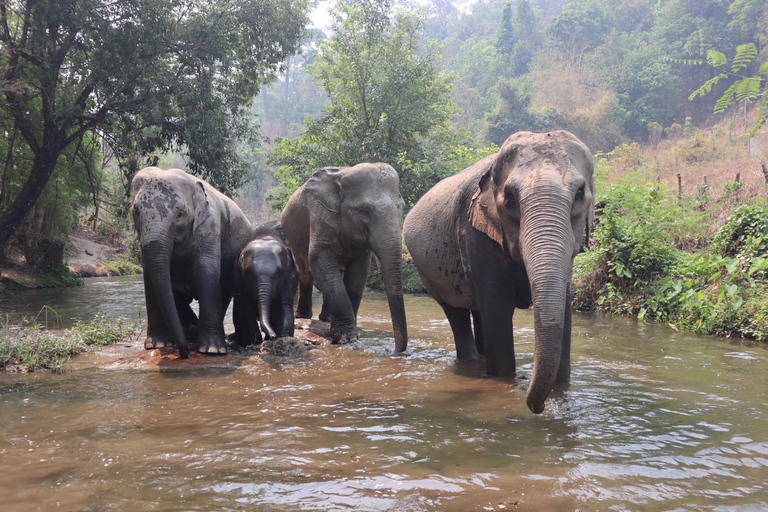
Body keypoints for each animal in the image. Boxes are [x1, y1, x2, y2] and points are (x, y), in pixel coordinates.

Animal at [130, 167, 254, 357]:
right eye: (135, 211)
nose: (185, 354)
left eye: (180, 214)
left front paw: (212, 350)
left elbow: (205, 273)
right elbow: (150, 277)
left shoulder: (209, 227)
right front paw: (157, 345)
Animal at [280, 163, 408, 352]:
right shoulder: (320, 218)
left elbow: (358, 273)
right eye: (365, 211)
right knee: (306, 271)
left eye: (401, 207)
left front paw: (350, 332)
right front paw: (345, 338)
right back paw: (303, 316)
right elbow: (318, 259)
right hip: (292, 235)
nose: (395, 350)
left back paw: (326, 318)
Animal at [403, 131, 594, 414]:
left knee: (478, 312)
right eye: (510, 199)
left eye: (580, 194)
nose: (541, 408)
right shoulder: (474, 234)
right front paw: (505, 382)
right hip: (429, 273)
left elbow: (564, 311)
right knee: (456, 313)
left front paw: (561, 389)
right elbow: (498, 310)